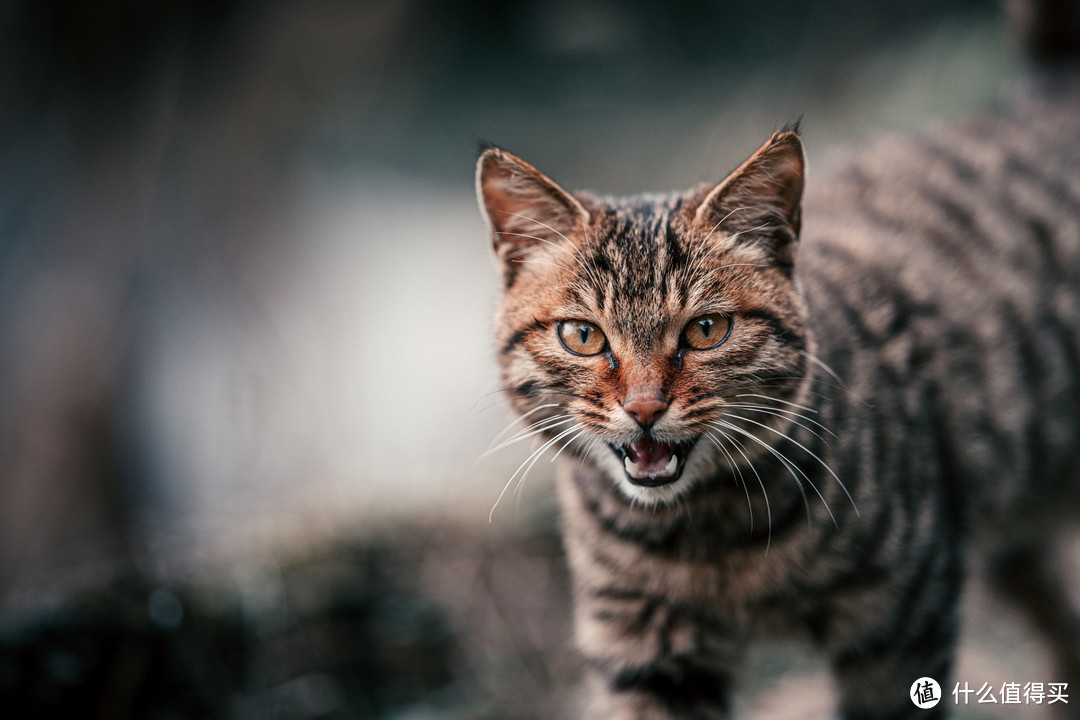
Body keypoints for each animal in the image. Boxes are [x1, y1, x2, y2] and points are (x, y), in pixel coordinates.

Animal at [477, 91, 1080, 720]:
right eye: (583, 336)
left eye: (707, 330)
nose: (644, 407)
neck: (703, 543)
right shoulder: (643, 648)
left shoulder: (902, 623)